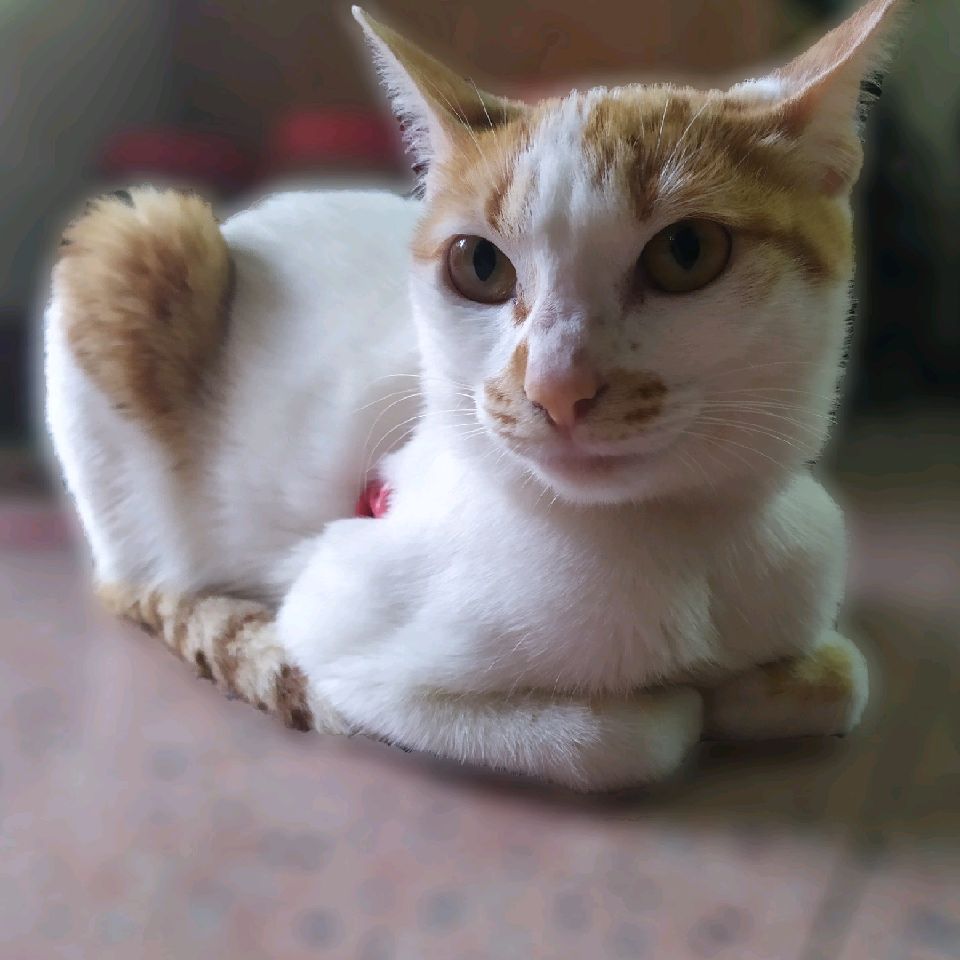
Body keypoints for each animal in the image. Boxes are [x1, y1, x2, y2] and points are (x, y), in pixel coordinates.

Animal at [44, 1, 909, 790]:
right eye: (480, 266)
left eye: (688, 251)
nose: (556, 387)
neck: (678, 550)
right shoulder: (345, 636)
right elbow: (623, 738)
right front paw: (687, 705)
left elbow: (848, 678)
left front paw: (767, 685)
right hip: (143, 240)